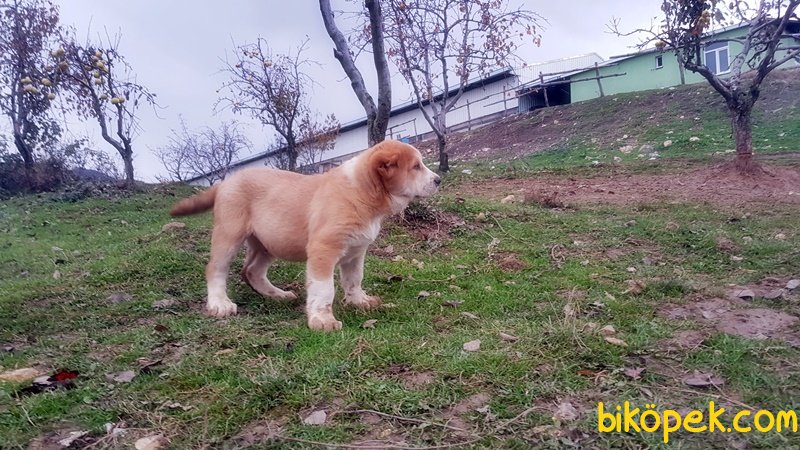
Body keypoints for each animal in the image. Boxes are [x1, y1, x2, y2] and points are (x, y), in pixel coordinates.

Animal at [170, 140, 441, 331]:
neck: (362, 193)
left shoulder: (356, 252)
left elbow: (354, 279)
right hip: (229, 234)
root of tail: (226, 181)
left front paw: (358, 301)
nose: (438, 180)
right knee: (216, 268)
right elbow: (324, 288)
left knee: (252, 271)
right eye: (416, 166)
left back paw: (278, 295)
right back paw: (219, 303)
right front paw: (322, 320)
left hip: (268, 242)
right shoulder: (323, 249)